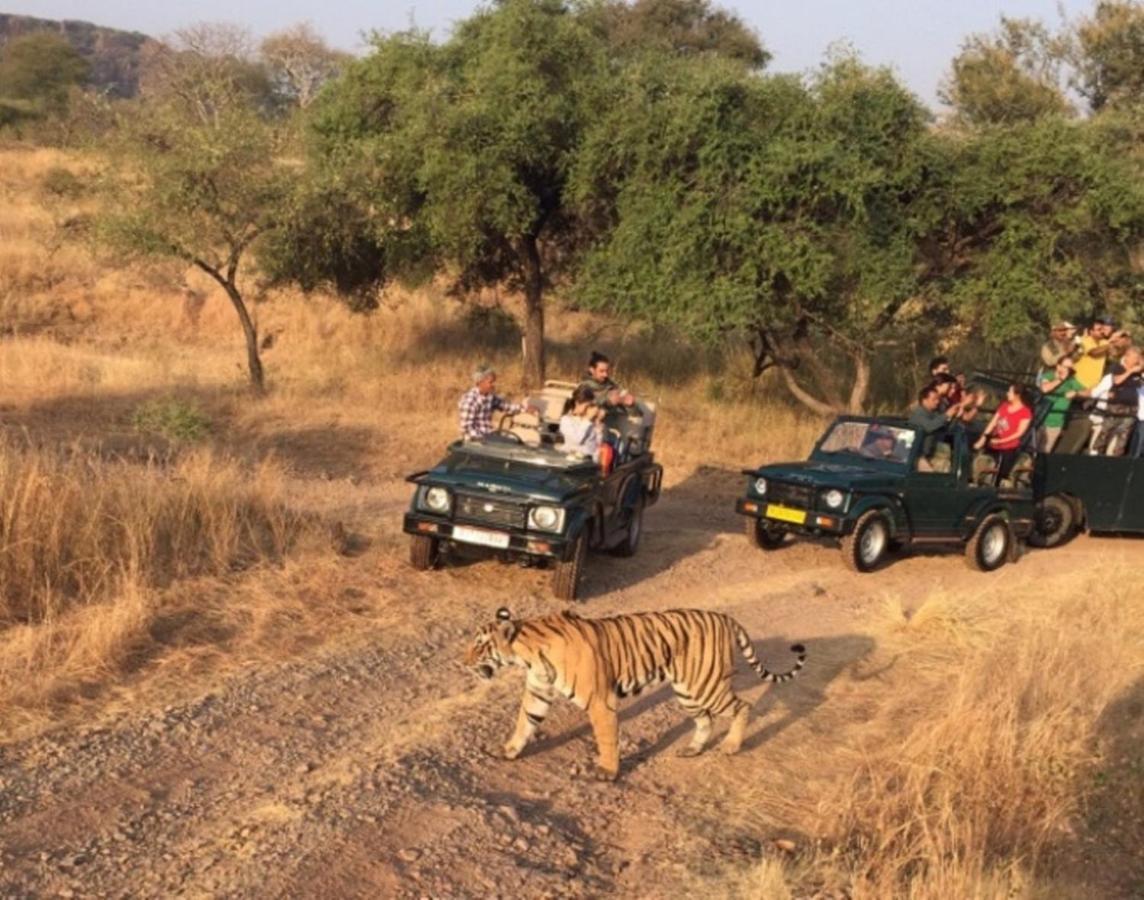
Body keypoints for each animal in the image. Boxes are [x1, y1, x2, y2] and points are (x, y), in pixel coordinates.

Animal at [462, 608, 805, 777]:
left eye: (480, 645)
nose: (463, 662)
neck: (528, 654)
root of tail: (725, 617)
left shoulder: (600, 702)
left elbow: (606, 739)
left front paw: (607, 772)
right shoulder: (538, 691)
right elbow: (525, 722)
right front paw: (509, 751)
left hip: (705, 686)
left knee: (742, 706)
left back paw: (732, 746)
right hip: (688, 691)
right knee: (705, 719)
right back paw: (693, 749)